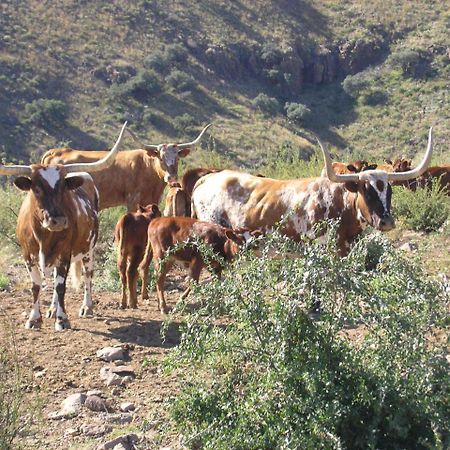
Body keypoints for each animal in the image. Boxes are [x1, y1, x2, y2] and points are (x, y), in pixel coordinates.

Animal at [41, 124, 212, 210]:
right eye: (160, 157)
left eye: (177, 158)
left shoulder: (152, 200)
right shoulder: (132, 200)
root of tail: (56, 151)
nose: (171, 177)